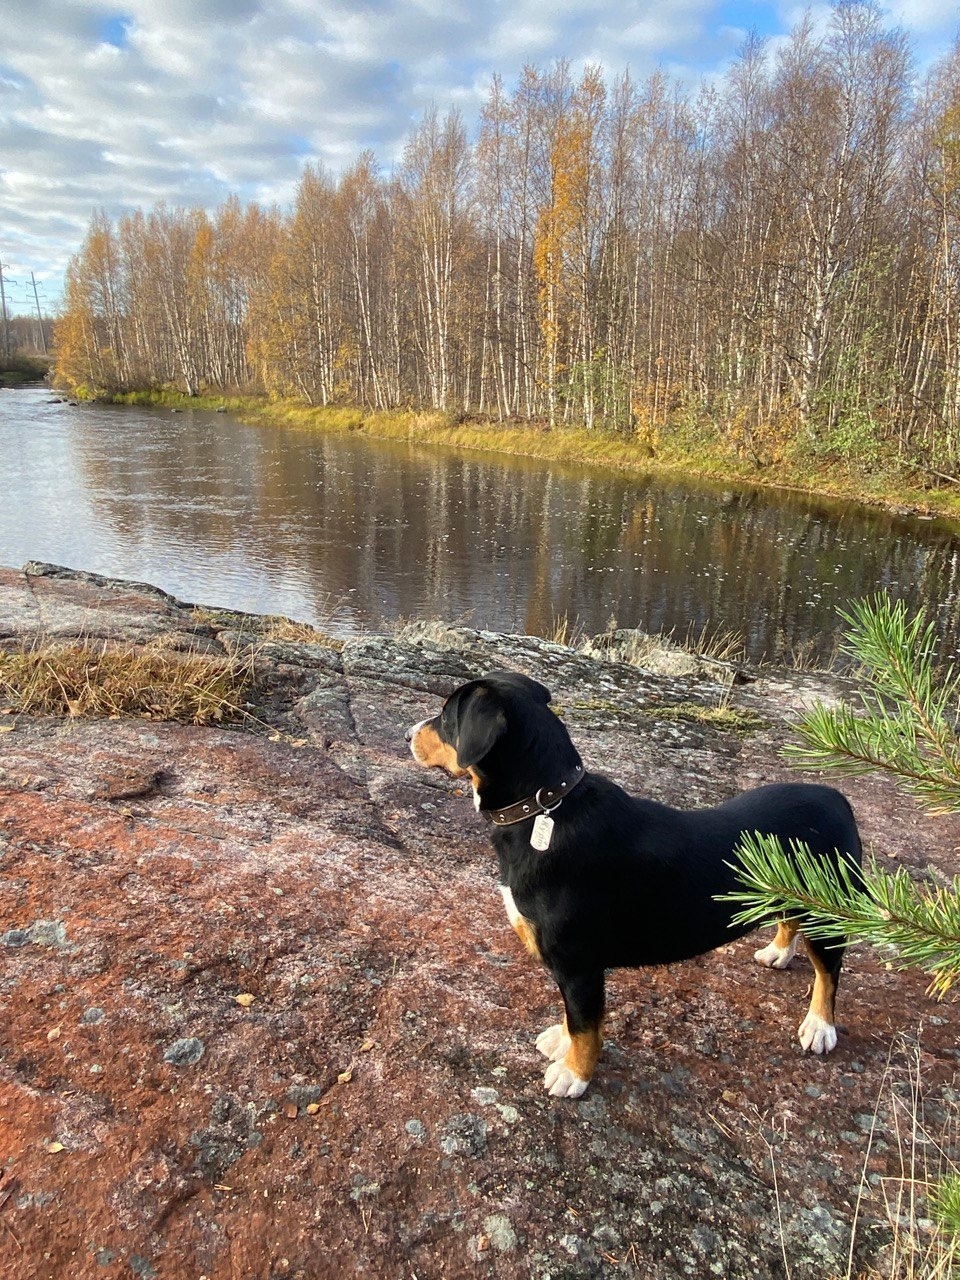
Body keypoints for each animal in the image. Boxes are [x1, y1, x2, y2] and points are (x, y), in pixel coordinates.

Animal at [407, 669, 862, 1098]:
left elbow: (586, 1024)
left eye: (446, 717)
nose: (408, 734)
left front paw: (575, 1074)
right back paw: (779, 951)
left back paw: (819, 1025)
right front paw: (562, 1041)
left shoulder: (579, 962)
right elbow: (572, 1016)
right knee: (790, 919)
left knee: (829, 973)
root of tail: (837, 799)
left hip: (829, 912)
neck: (544, 808)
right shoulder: (572, 969)